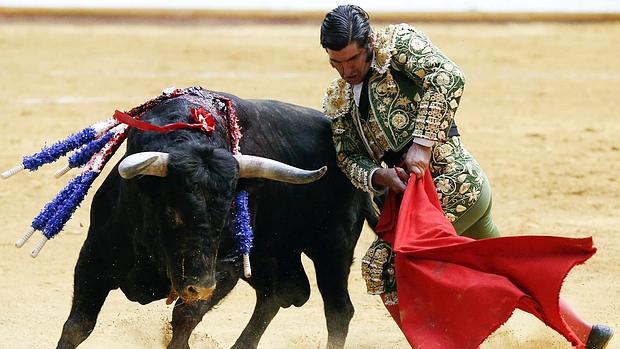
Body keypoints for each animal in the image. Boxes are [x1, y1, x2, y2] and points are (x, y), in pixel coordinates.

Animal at [57, 87, 378, 348]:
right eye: (172, 212)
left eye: (227, 215)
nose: (200, 286)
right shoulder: (94, 257)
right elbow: (77, 326)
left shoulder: (227, 266)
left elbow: (185, 315)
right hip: (272, 253)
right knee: (279, 293)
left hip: (332, 246)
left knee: (337, 310)